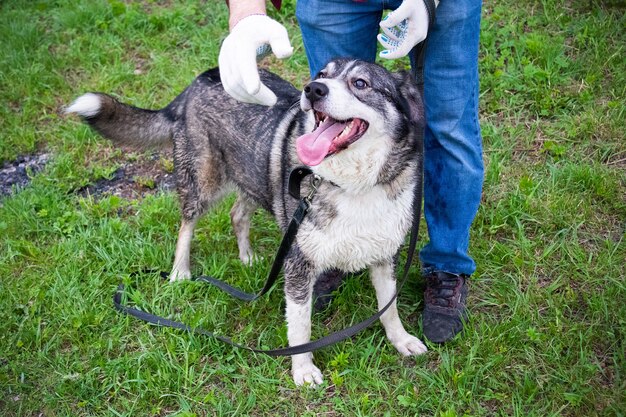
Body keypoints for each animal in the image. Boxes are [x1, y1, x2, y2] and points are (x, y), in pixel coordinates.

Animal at [66, 57, 426, 384]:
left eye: (360, 83)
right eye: (322, 73)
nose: (313, 89)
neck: (351, 184)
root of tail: (198, 80)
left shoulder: (385, 255)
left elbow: (389, 306)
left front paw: (401, 340)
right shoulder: (298, 264)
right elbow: (301, 324)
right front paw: (303, 369)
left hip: (253, 177)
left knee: (237, 213)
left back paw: (247, 257)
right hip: (202, 179)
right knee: (187, 223)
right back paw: (180, 272)